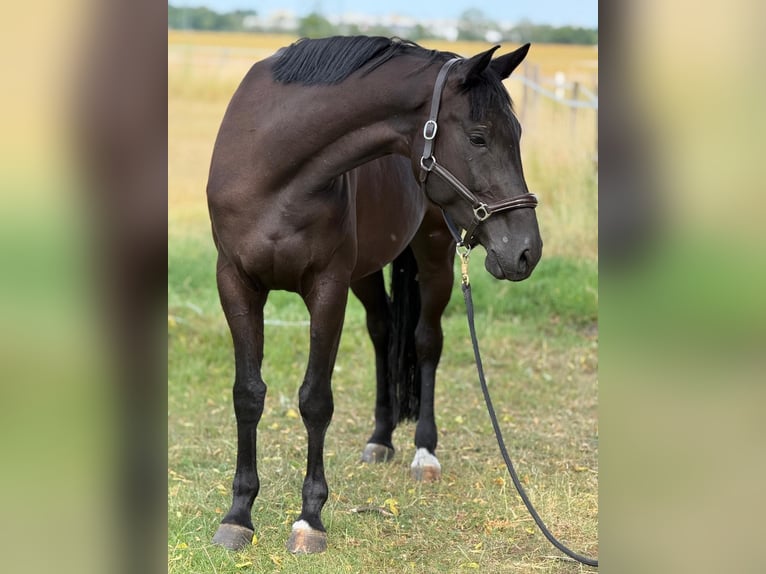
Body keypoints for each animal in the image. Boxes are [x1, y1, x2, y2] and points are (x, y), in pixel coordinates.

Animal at [206, 36, 542, 554]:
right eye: (478, 137)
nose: (527, 250)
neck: (271, 166)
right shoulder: (237, 284)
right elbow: (248, 394)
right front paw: (238, 515)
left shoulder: (326, 288)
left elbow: (315, 400)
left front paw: (309, 520)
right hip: (364, 273)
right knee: (383, 332)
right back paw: (381, 438)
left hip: (435, 255)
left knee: (426, 342)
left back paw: (424, 453)